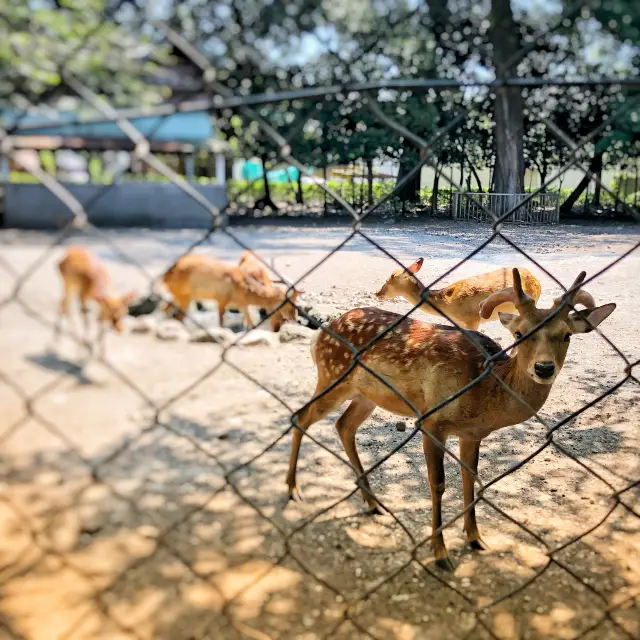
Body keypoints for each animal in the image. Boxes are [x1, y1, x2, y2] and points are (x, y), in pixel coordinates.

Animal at [160, 252, 300, 332]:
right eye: (291, 304)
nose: (295, 319)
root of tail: (165, 275)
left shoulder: (241, 305)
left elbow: (250, 323)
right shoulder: (221, 300)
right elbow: (221, 324)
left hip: (178, 296)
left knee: (166, 309)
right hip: (185, 297)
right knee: (178, 316)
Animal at [288, 268, 612, 568]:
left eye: (567, 335)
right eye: (520, 334)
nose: (544, 368)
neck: (485, 391)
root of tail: (321, 333)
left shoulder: (472, 433)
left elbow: (470, 478)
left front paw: (476, 538)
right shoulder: (432, 421)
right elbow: (438, 484)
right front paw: (440, 553)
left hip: (366, 395)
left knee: (343, 425)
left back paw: (372, 502)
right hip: (332, 374)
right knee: (301, 416)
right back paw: (294, 490)